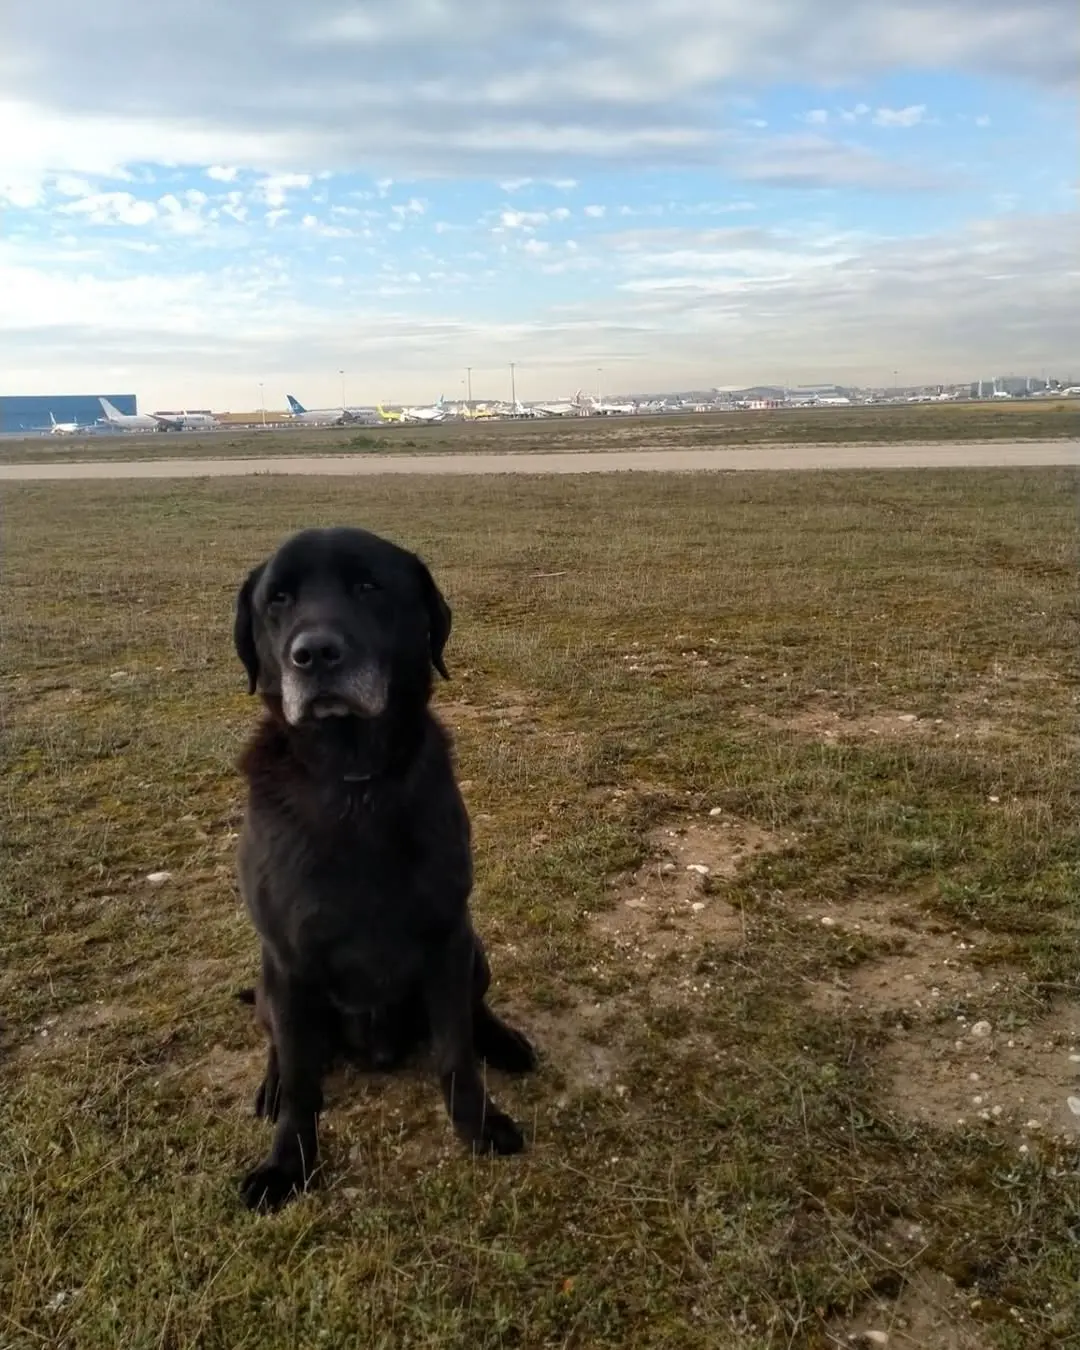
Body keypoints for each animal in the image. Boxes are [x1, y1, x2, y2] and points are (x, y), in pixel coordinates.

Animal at [232, 523, 534, 1215]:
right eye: (278, 599)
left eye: (369, 586)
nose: (314, 654)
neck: (354, 783)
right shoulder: (287, 957)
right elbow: (301, 1084)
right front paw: (287, 1164)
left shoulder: (447, 937)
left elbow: (455, 1052)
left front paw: (477, 1124)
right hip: (269, 980)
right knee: (280, 1044)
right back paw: (269, 1085)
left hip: (477, 951)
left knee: (475, 1013)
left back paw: (504, 1042)